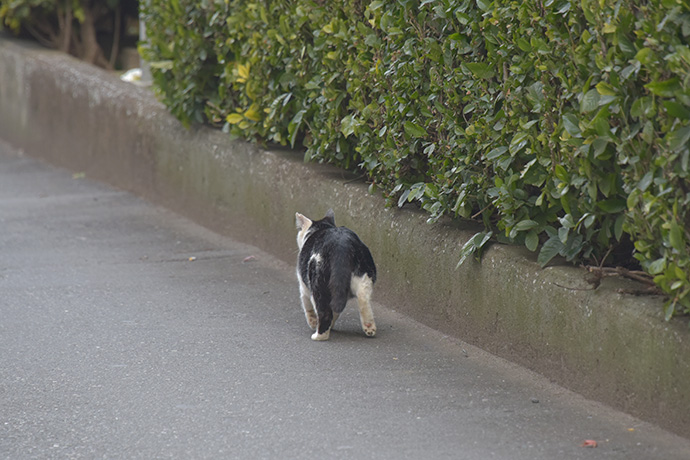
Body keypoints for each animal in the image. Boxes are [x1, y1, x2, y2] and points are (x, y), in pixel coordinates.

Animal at [292, 210, 374, 340]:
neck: (322, 227)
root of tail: (341, 243)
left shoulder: (303, 287)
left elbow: (307, 306)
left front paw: (313, 323)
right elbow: (335, 311)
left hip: (317, 284)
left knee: (323, 311)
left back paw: (319, 336)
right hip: (364, 275)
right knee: (363, 298)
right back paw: (369, 326)